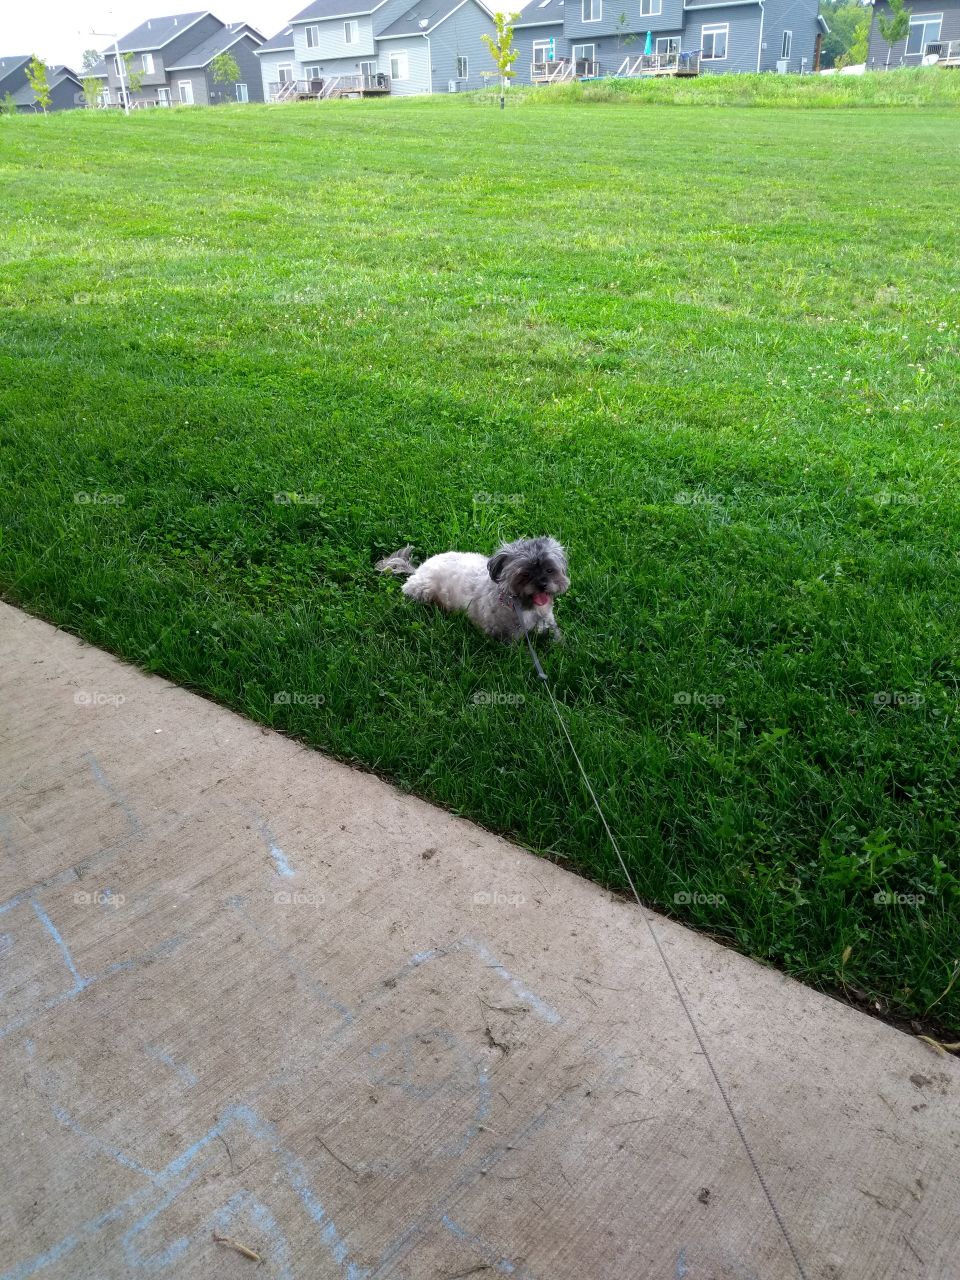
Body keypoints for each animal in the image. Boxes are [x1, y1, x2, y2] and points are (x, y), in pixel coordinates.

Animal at [378, 535, 570, 645]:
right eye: (525, 574)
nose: (542, 584)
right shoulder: (508, 636)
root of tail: (418, 570)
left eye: (549, 570)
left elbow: (557, 637)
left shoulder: (548, 622)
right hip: (423, 591)